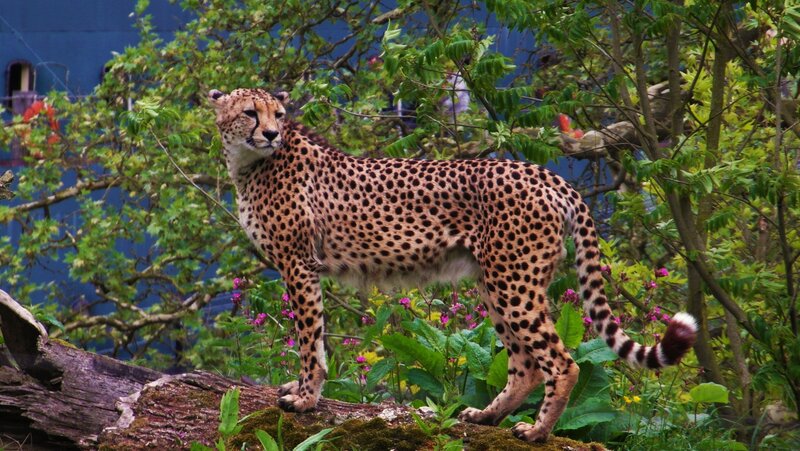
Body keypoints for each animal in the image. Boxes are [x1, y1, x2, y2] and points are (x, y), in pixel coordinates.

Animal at [208, 87, 698, 443]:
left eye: (277, 114)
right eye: (251, 113)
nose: (271, 134)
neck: (250, 163)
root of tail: (545, 173)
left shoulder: (299, 264)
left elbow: (310, 338)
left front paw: (307, 398)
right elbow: (313, 336)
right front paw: (300, 390)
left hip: (513, 282)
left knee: (562, 362)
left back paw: (537, 431)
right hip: (496, 281)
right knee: (526, 364)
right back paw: (486, 417)